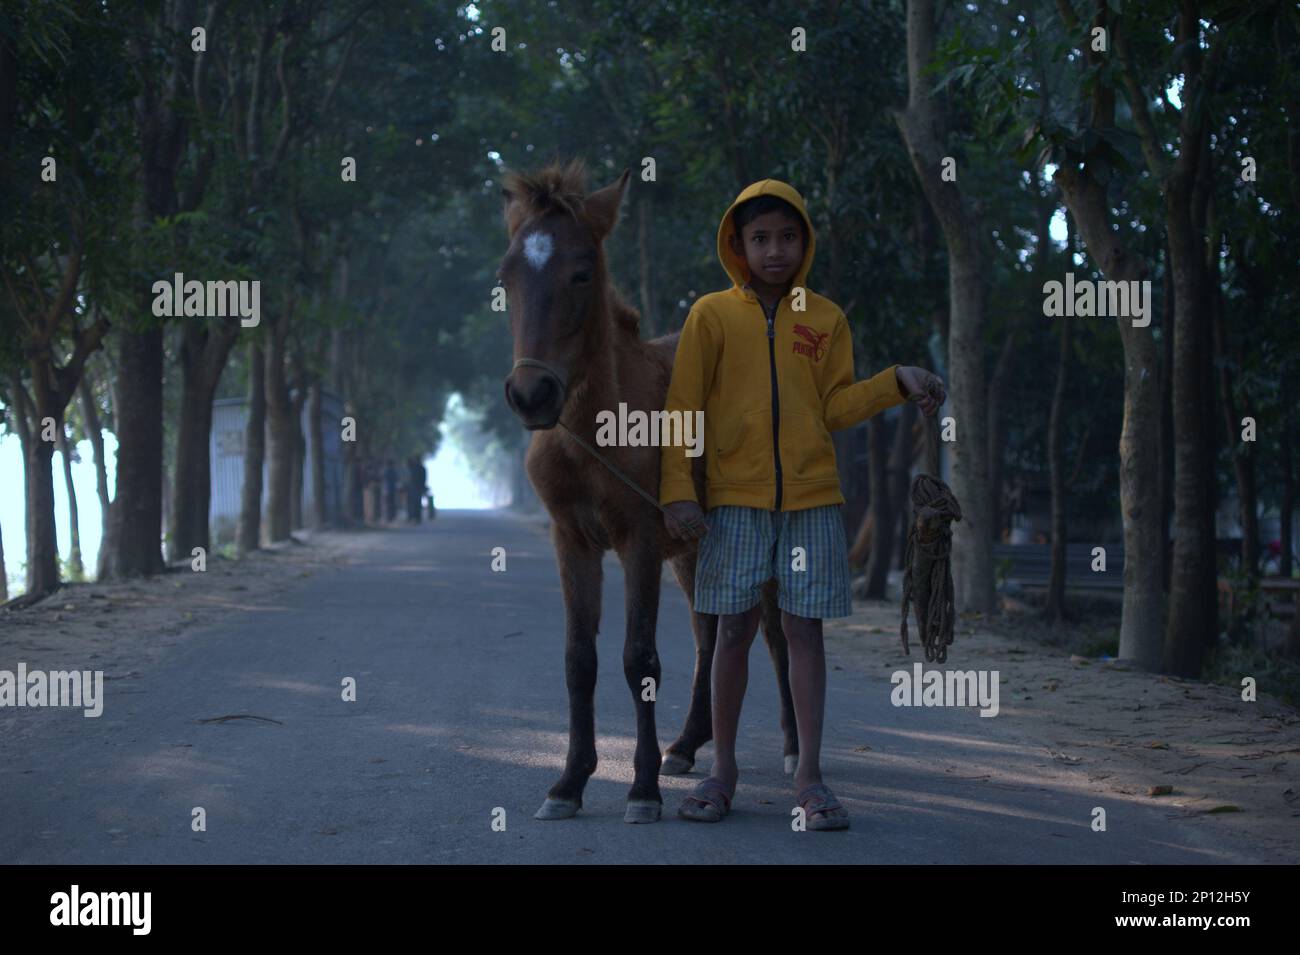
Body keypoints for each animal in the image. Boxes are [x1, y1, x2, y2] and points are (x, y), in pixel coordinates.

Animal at [499, 157, 795, 821]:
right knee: (709, 634)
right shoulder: (572, 539)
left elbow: (640, 659)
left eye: (582, 272)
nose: (532, 395)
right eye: (506, 275)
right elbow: (579, 659)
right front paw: (568, 783)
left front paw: (640, 789)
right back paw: (686, 746)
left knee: (772, 632)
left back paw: (792, 748)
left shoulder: (638, 537)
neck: (594, 431)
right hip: (692, 545)